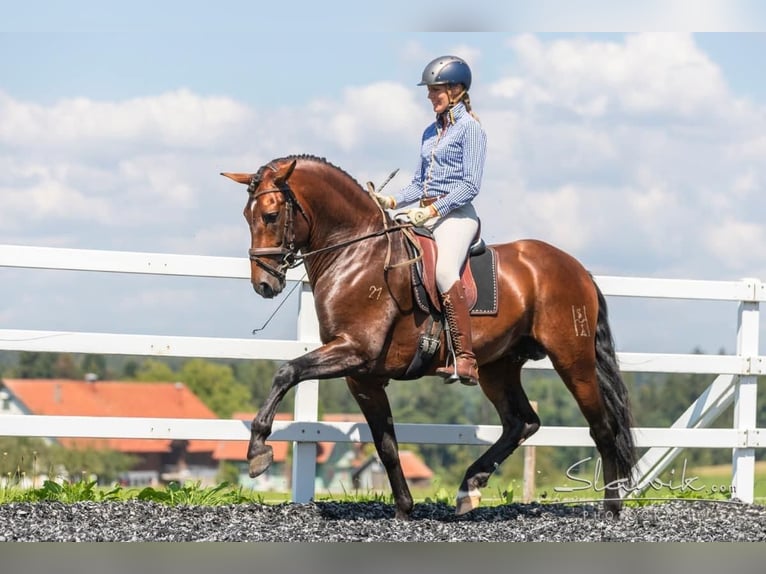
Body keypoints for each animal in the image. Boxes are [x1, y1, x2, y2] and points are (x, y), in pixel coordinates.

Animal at [221, 154, 636, 520]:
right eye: (245, 216)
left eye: (271, 214)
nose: (264, 284)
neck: (356, 254)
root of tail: (576, 268)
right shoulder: (363, 376)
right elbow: (386, 445)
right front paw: (405, 509)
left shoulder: (353, 351)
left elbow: (286, 372)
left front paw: (258, 451)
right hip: (498, 367)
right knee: (522, 422)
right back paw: (469, 487)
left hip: (572, 358)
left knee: (602, 426)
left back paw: (611, 508)